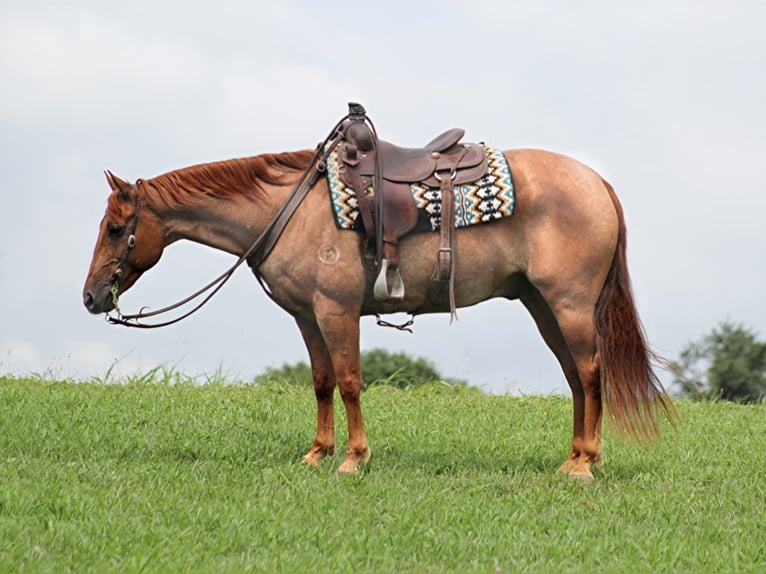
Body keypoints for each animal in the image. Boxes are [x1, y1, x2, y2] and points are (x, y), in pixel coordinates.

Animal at [82, 111, 672, 482]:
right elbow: (322, 383)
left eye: (115, 228)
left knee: (591, 373)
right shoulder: (307, 317)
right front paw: (317, 454)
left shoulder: (337, 311)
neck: (292, 208)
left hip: (569, 304)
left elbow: (349, 381)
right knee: (575, 376)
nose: (90, 297)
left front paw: (353, 458)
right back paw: (574, 459)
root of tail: (596, 182)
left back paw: (585, 465)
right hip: (542, 305)